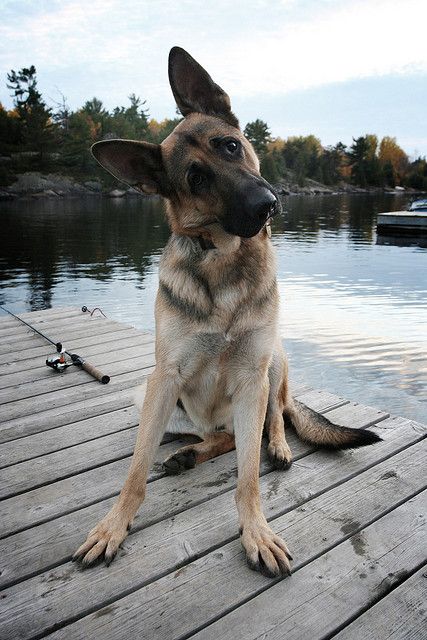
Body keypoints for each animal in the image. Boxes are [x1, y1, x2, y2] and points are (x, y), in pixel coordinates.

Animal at [72, 46, 382, 580]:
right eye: (196, 178)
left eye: (231, 146)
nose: (266, 204)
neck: (222, 259)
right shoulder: (164, 378)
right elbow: (136, 470)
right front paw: (113, 526)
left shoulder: (252, 374)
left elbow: (249, 477)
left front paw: (255, 531)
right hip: (150, 398)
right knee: (223, 437)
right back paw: (191, 452)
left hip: (273, 362)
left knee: (270, 420)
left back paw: (275, 444)